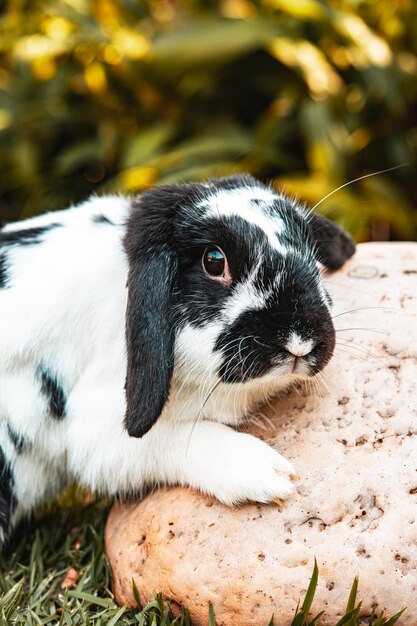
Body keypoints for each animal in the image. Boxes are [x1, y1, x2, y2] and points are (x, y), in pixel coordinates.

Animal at [0, 173, 354, 540]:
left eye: (311, 251)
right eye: (214, 261)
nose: (301, 341)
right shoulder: (99, 435)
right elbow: (173, 439)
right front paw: (267, 474)